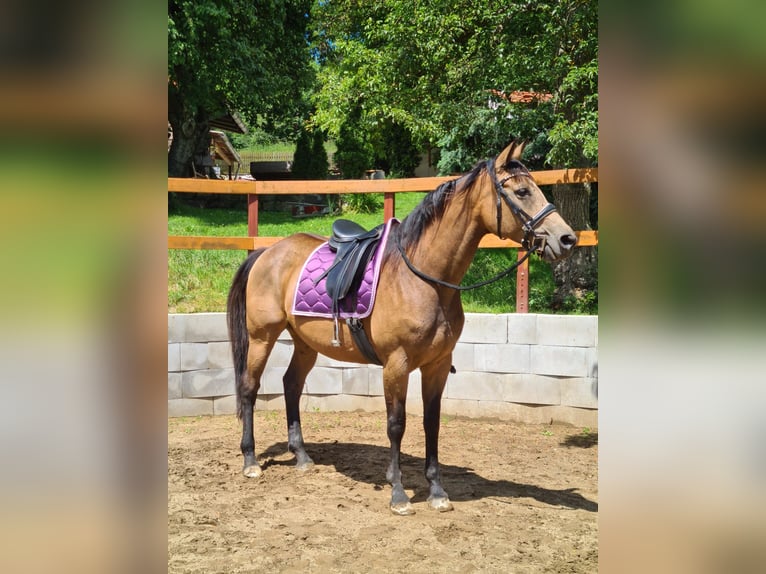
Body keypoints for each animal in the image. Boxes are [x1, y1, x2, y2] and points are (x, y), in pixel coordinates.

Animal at [226, 143, 576, 516]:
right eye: (522, 191)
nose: (567, 238)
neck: (423, 278)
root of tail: (267, 252)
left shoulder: (437, 365)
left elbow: (431, 423)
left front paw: (436, 491)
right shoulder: (397, 365)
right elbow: (397, 425)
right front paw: (398, 494)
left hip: (306, 343)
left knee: (291, 385)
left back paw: (302, 456)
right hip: (262, 337)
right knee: (249, 387)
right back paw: (250, 460)